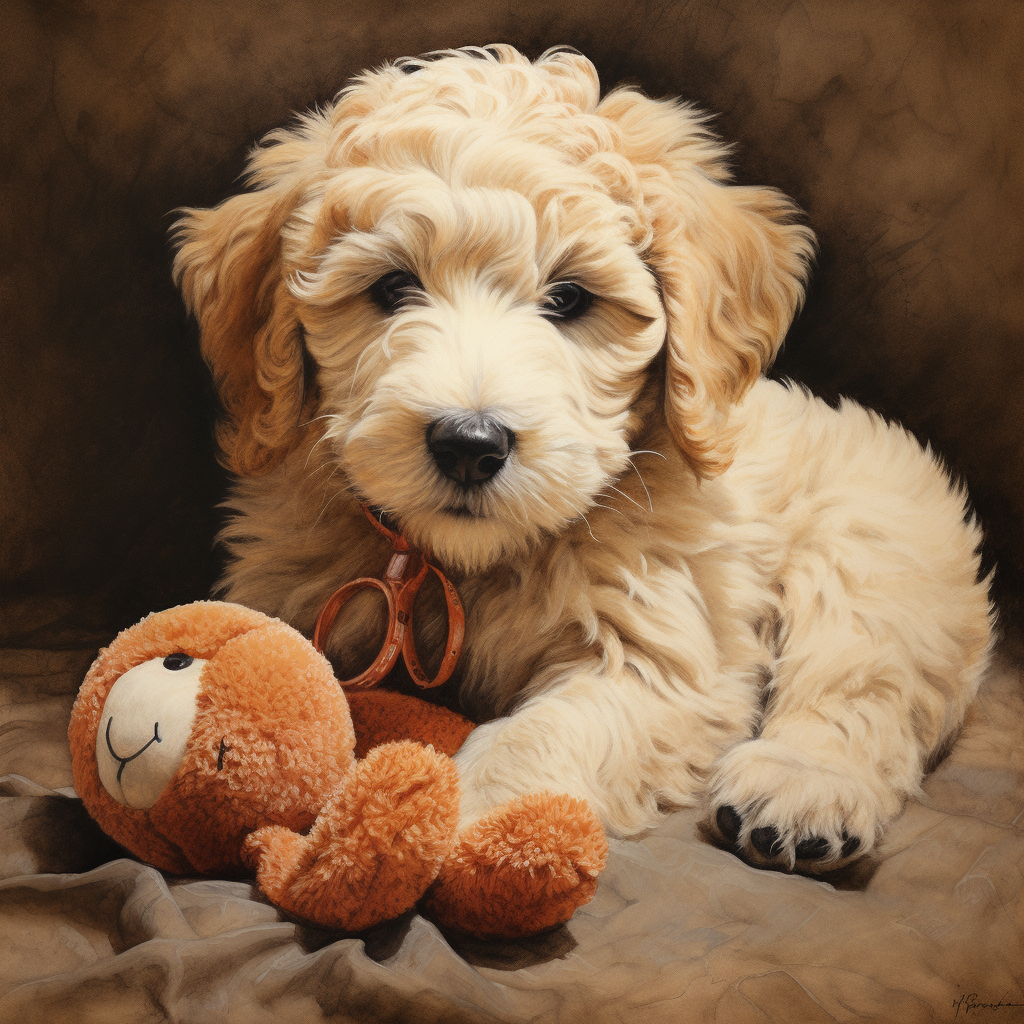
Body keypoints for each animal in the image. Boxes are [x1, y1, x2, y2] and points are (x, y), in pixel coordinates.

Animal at [174, 41, 991, 872]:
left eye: (569, 299)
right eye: (393, 286)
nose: (470, 445)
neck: (472, 565)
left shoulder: (660, 659)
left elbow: (542, 732)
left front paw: (463, 815)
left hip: (875, 540)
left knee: (859, 678)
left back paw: (800, 791)